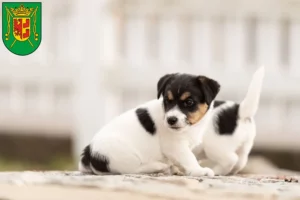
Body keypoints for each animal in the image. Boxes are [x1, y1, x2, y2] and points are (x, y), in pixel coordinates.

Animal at [78, 73, 220, 177]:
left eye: (189, 102)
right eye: (167, 100)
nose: (171, 120)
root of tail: (89, 153)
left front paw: (179, 169)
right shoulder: (175, 146)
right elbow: (189, 158)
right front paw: (199, 170)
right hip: (125, 156)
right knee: (134, 169)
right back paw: (159, 167)